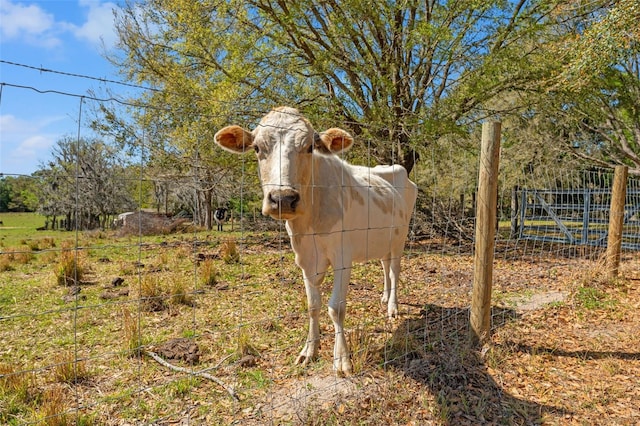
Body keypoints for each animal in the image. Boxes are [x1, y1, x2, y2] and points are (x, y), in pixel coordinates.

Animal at [212, 107, 418, 376]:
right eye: (257, 148)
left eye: (310, 146)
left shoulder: (342, 257)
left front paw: (342, 359)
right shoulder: (305, 259)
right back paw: (384, 297)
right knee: (384, 266)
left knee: (394, 270)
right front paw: (309, 349)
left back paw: (392, 307)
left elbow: (336, 308)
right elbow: (313, 305)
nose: (283, 198)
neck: (309, 224)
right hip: (380, 239)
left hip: (399, 238)